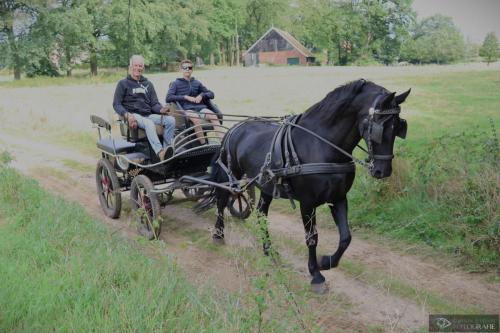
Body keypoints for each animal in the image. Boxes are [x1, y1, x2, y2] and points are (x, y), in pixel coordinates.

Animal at [209, 79, 408, 290]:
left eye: (398, 127)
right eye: (380, 126)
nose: (383, 171)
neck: (321, 145)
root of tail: (236, 127)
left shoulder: (338, 198)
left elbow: (346, 237)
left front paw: (326, 262)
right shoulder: (307, 203)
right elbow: (312, 237)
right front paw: (315, 274)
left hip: (267, 187)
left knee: (262, 214)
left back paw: (269, 251)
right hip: (231, 176)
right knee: (222, 201)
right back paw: (218, 235)